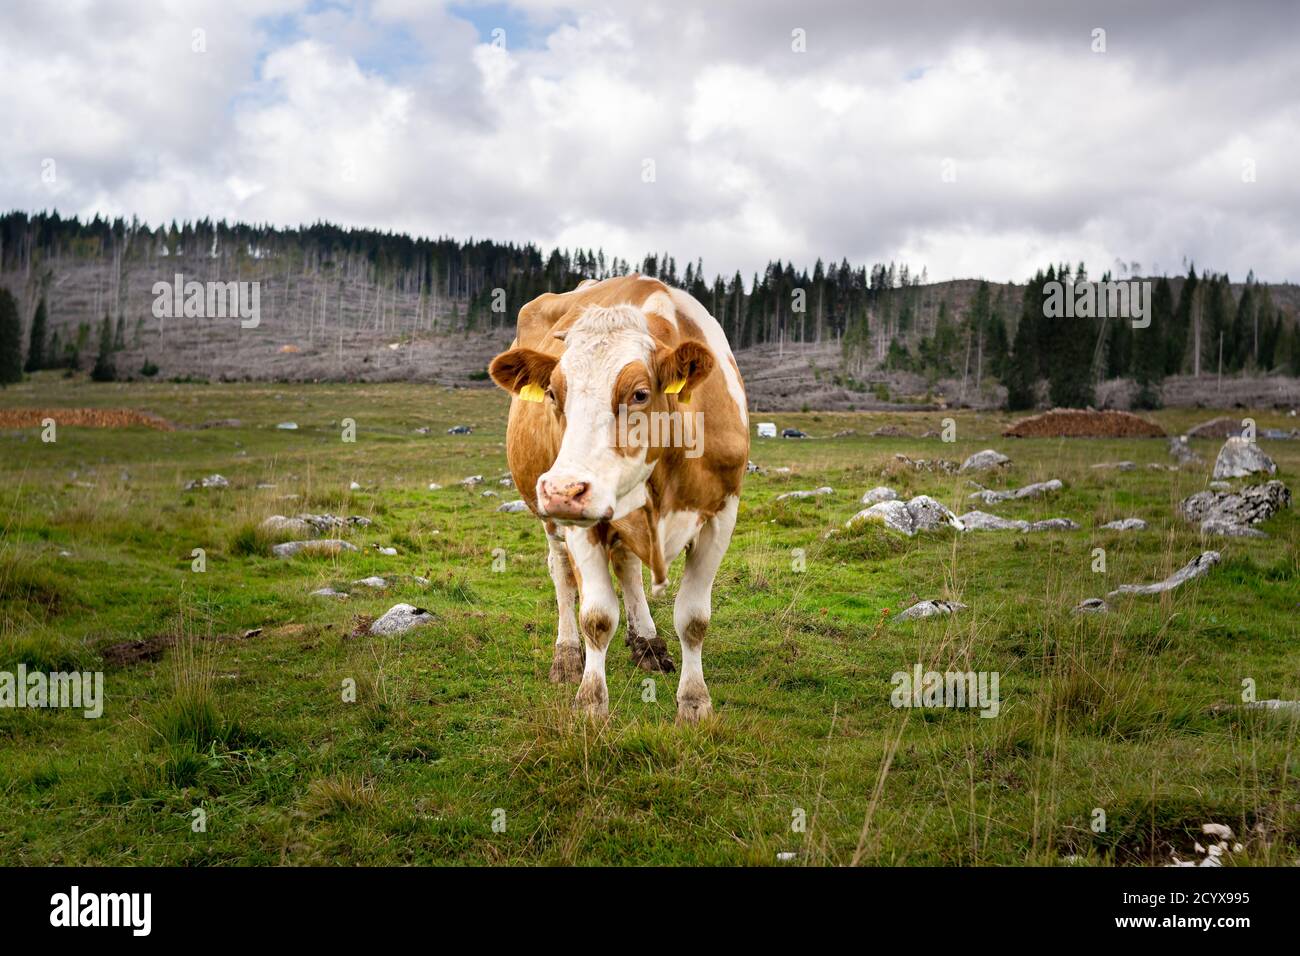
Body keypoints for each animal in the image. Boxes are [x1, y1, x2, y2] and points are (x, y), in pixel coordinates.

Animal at [488, 273, 754, 723]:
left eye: (640, 394)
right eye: (553, 393)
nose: (561, 489)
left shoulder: (722, 514)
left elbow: (694, 619)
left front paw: (694, 703)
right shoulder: (581, 522)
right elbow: (596, 617)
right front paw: (591, 702)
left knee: (627, 566)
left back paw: (647, 642)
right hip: (552, 517)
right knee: (562, 574)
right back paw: (566, 656)